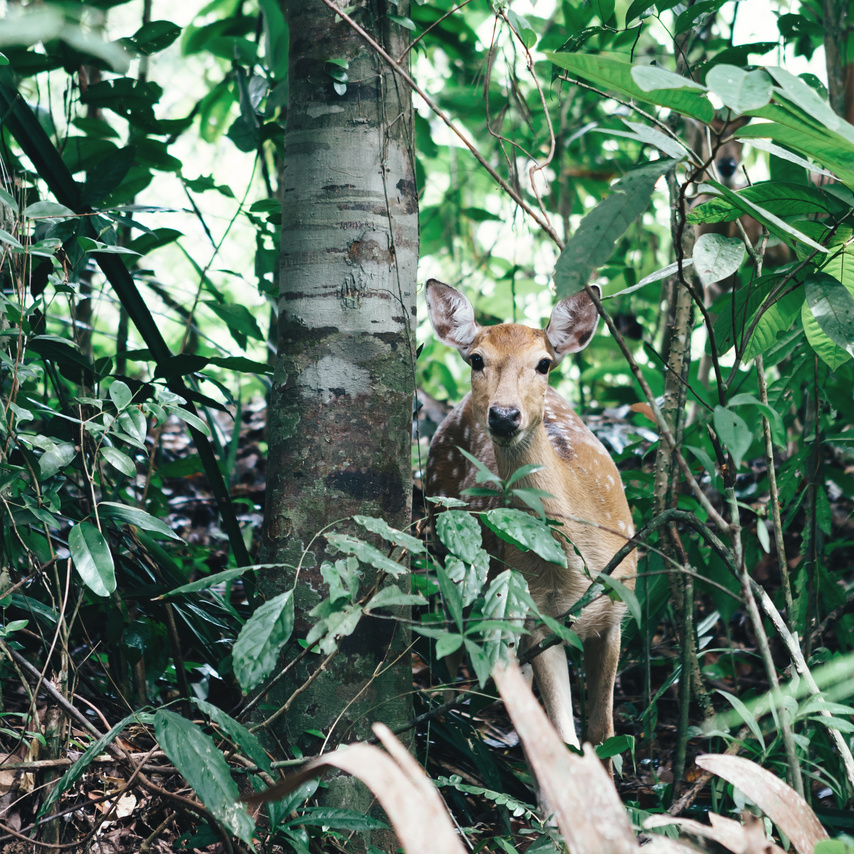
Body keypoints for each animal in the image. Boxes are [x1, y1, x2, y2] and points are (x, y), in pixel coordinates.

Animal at [424, 279, 636, 751]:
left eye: (543, 363)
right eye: (476, 359)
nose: (504, 416)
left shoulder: (617, 604)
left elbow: (602, 731)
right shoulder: (541, 618)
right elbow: (565, 737)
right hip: (440, 534)